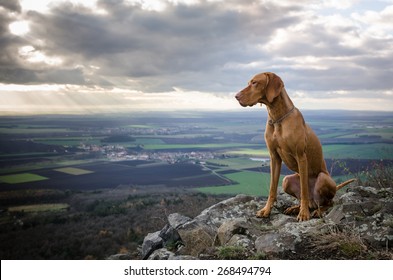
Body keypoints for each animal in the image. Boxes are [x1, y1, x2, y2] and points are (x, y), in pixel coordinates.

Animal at [234, 71, 354, 221]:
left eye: (255, 82)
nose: (236, 96)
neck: (277, 117)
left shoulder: (301, 157)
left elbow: (304, 189)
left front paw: (303, 214)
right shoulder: (274, 157)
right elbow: (272, 188)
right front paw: (266, 210)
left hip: (323, 178)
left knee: (327, 202)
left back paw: (316, 211)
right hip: (287, 180)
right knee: (308, 200)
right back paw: (295, 208)